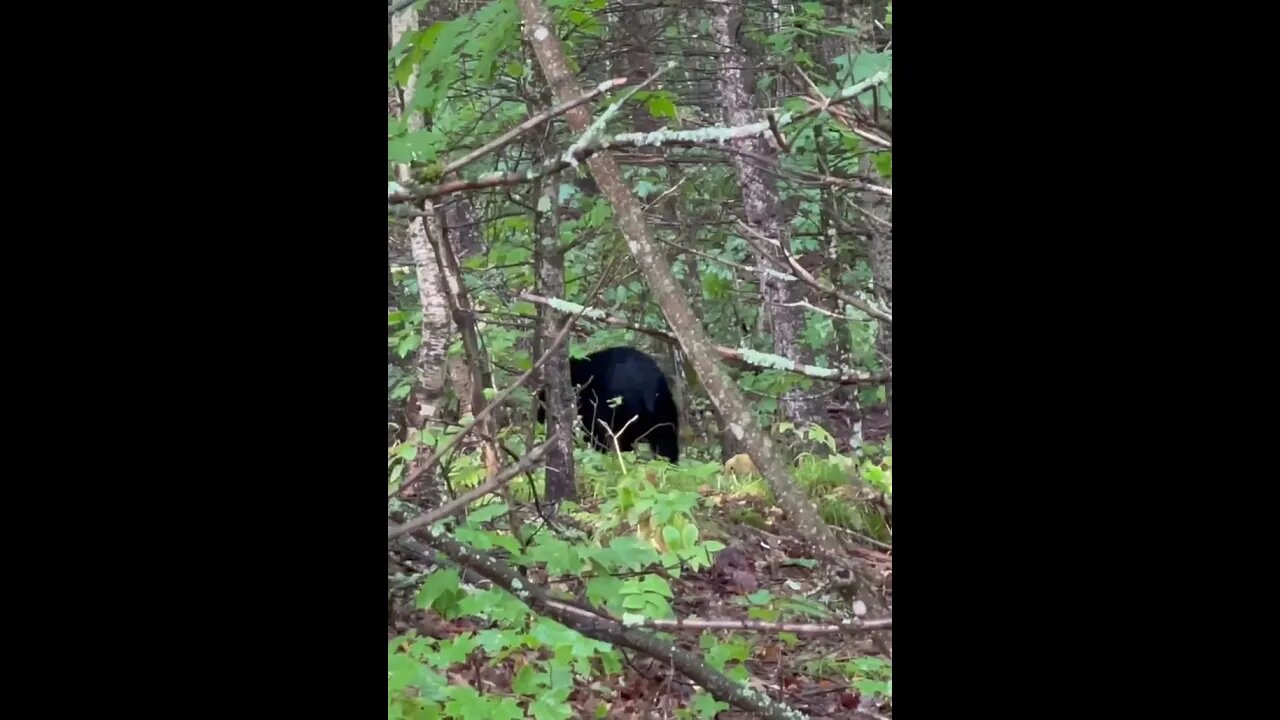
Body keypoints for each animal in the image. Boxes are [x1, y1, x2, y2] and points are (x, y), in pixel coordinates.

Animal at [537, 345, 680, 458]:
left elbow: (592, 429)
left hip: (625, 409)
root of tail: (648, 386)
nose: (539, 420)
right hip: (664, 408)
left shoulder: (591, 404)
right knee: (667, 441)